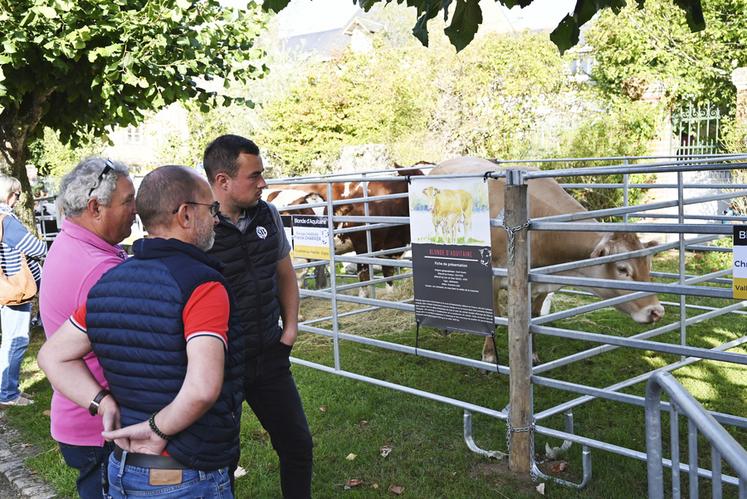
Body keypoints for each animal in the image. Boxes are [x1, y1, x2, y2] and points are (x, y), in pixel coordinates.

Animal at [430, 157, 664, 364]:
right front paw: (489, 355)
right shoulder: (492, 276)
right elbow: (494, 318)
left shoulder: (542, 282)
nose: (656, 311)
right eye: (623, 269)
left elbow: (534, 316)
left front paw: (532, 354)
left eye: (648, 266)